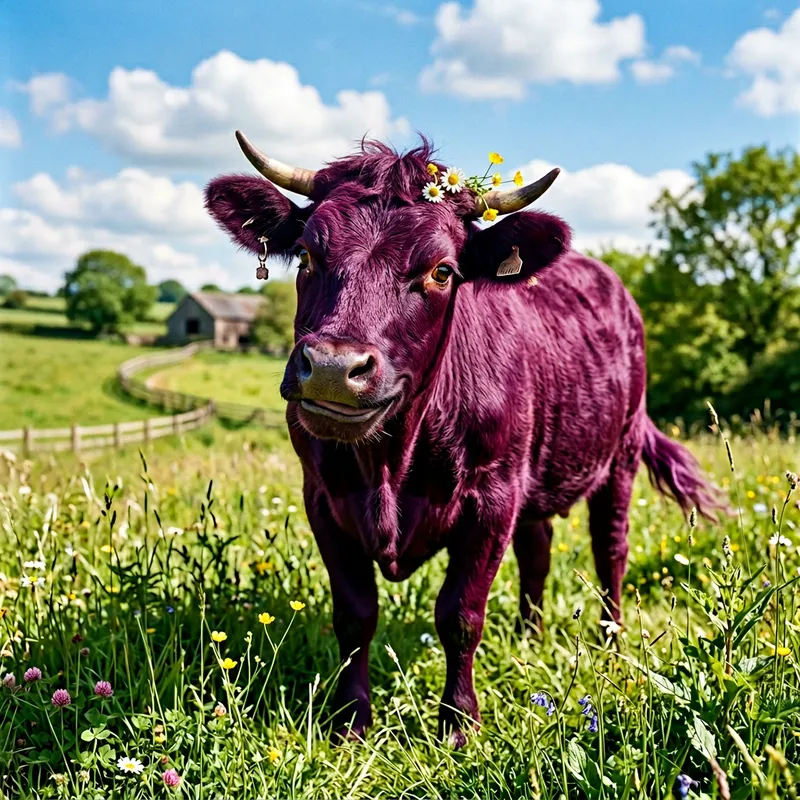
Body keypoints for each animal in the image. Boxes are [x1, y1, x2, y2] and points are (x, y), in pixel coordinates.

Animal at [205, 132, 722, 746]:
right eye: (307, 254)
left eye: (442, 271)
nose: (332, 368)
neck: (390, 464)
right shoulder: (324, 498)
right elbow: (355, 613)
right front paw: (350, 721)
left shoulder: (491, 498)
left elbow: (459, 614)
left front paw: (457, 725)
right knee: (537, 549)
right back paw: (528, 636)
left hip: (618, 456)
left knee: (610, 550)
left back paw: (611, 642)